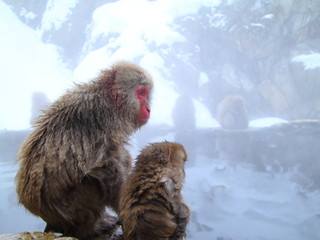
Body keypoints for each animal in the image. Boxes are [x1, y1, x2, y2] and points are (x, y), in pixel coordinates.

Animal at [15, 61, 153, 238]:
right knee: (91, 180)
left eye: (146, 93)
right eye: (140, 93)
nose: (148, 108)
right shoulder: (105, 122)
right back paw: (92, 228)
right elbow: (107, 171)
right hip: (72, 212)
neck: (108, 100)